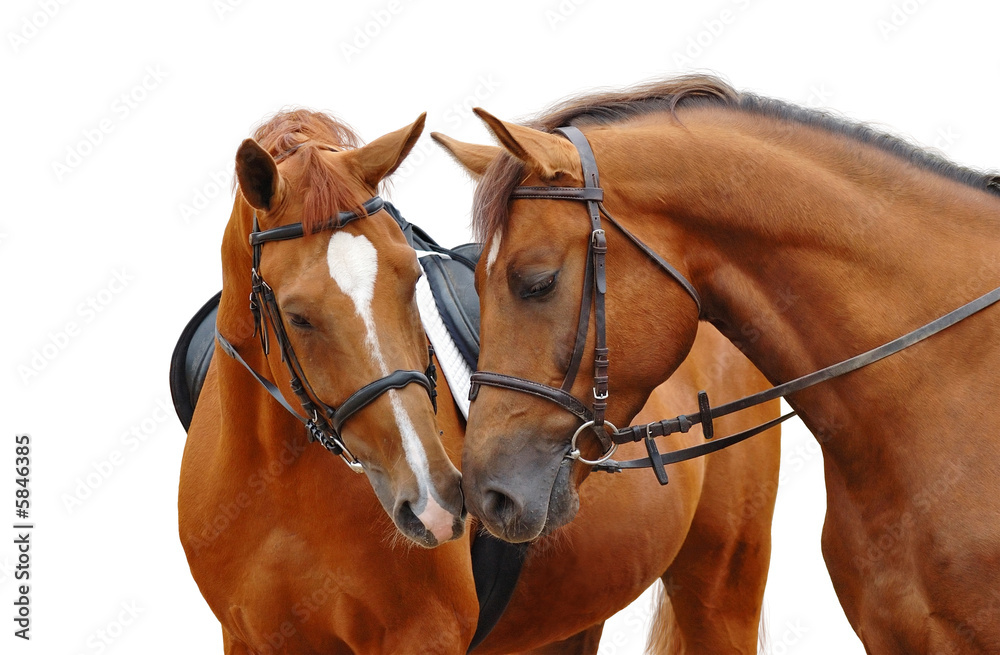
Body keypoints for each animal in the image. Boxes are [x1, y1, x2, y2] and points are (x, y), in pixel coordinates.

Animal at [177, 108, 781, 654]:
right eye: (298, 316)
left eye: (410, 277)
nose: (434, 500)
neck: (277, 481)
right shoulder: (246, 639)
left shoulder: (424, 637)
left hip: (720, 588)